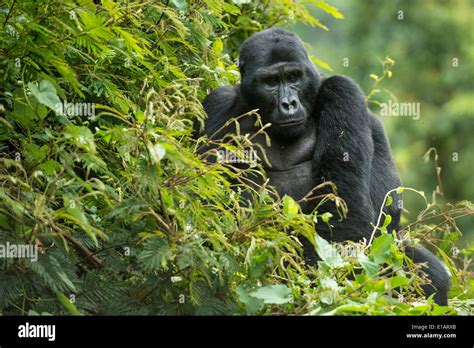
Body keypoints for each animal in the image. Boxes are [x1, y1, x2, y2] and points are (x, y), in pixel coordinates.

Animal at [199, 27, 448, 304]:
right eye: (270, 82)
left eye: (294, 77)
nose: (288, 104)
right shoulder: (217, 103)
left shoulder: (342, 91)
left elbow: (346, 217)